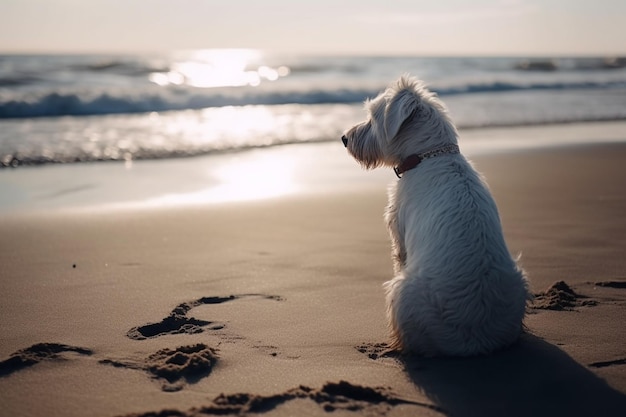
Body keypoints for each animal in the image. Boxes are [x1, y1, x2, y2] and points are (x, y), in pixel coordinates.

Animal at [342, 75, 528, 354]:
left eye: (373, 117)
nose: (344, 138)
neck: (429, 154)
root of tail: (473, 342)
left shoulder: (399, 233)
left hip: (401, 292)